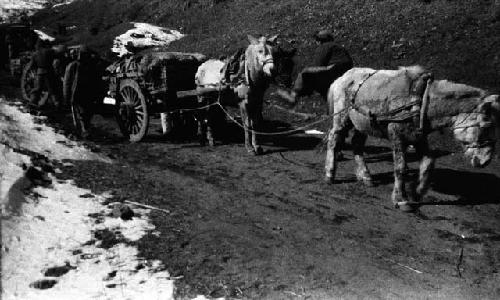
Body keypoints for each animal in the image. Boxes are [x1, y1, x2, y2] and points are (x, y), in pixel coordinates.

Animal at [322, 65, 498, 211]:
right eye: (485, 126)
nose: (485, 161)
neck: (421, 102)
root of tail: (341, 78)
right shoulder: (397, 136)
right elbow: (400, 168)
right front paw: (401, 200)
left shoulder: (418, 137)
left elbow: (428, 162)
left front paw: (416, 192)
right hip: (341, 118)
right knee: (334, 139)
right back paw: (330, 174)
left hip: (362, 124)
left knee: (357, 144)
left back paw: (366, 176)